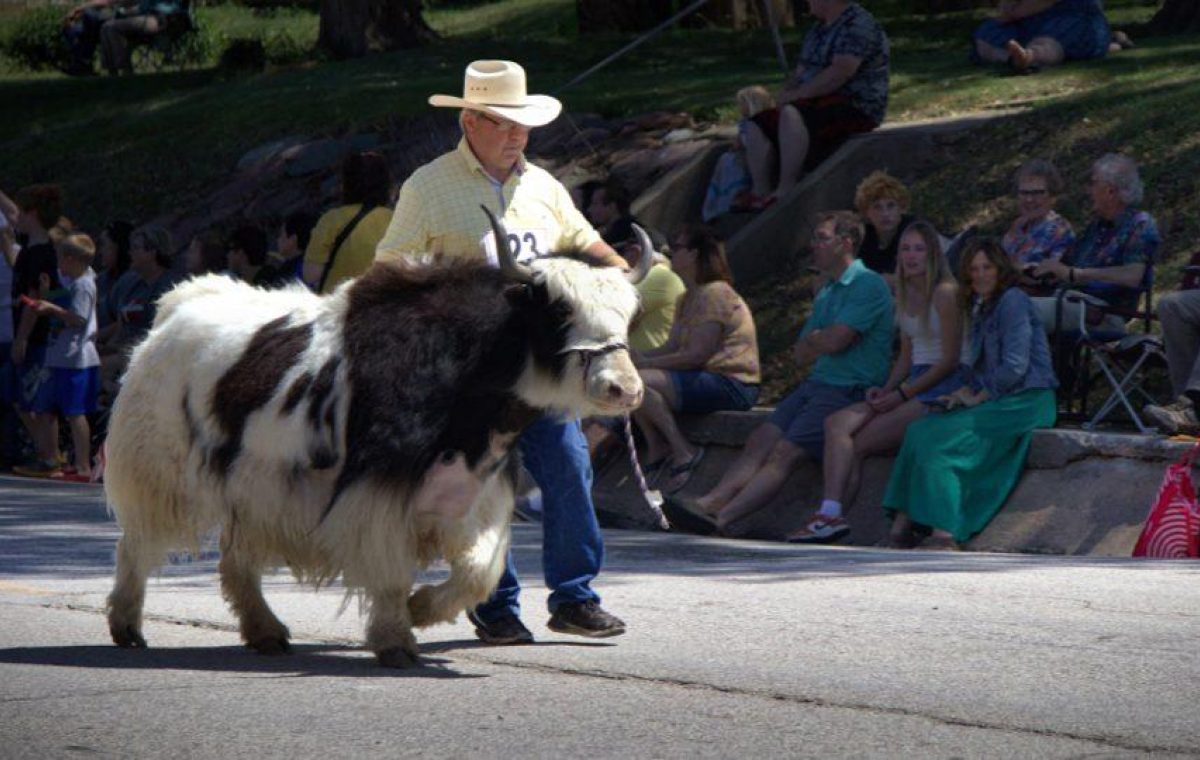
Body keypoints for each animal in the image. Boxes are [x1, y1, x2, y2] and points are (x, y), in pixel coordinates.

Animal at [104, 208, 653, 667]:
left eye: (629, 313)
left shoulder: (475, 493)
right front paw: (395, 639)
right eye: (559, 311)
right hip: (159, 472)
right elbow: (389, 571)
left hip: (248, 489)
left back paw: (265, 632)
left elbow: (479, 571)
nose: (624, 389)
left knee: (235, 555)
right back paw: (127, 626)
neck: (468, 377)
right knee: (137, 543)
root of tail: (175, 309)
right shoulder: (378, 493)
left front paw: (420, 609)